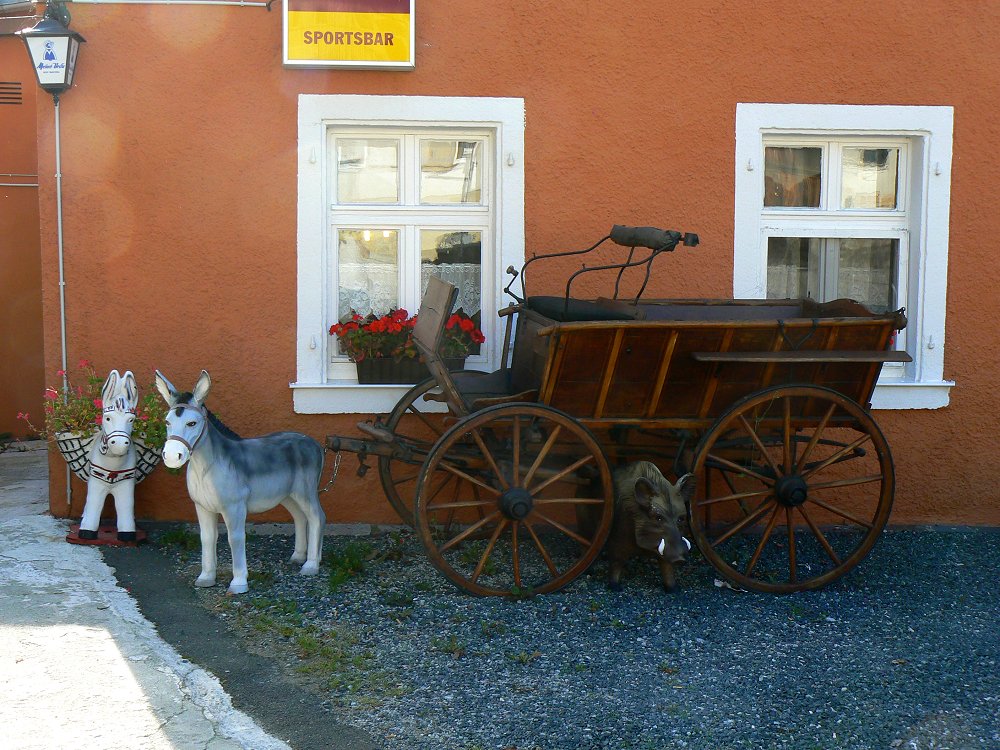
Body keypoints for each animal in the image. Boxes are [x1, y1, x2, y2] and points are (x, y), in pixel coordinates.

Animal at [600, 462, 696, 596]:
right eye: (658, 517)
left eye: (681, 518)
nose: (680, 559)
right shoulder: (617, 540)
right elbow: (616, 562)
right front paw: (615, 587)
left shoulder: (665, 552)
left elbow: (667, 567)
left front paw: (674, 590)